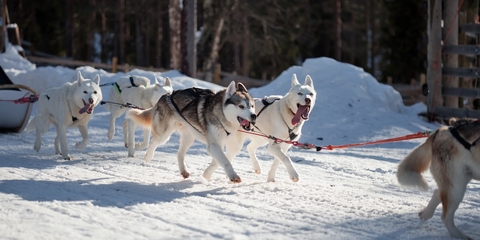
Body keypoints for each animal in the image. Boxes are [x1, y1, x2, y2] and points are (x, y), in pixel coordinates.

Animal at [125, 80, 256, 182]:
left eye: (252, 106)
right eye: (241, 106)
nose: (254, 116)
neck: (222, 115)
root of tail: (167, 95)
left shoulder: (220, 144)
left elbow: (219, 161)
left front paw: (207, 174)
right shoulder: (213, 145)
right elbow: (225, 160)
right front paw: (233, 176)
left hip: (189, 137)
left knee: (179, 154)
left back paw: (183, 171)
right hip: (164, 134)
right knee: (153, 143)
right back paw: (147, 157)